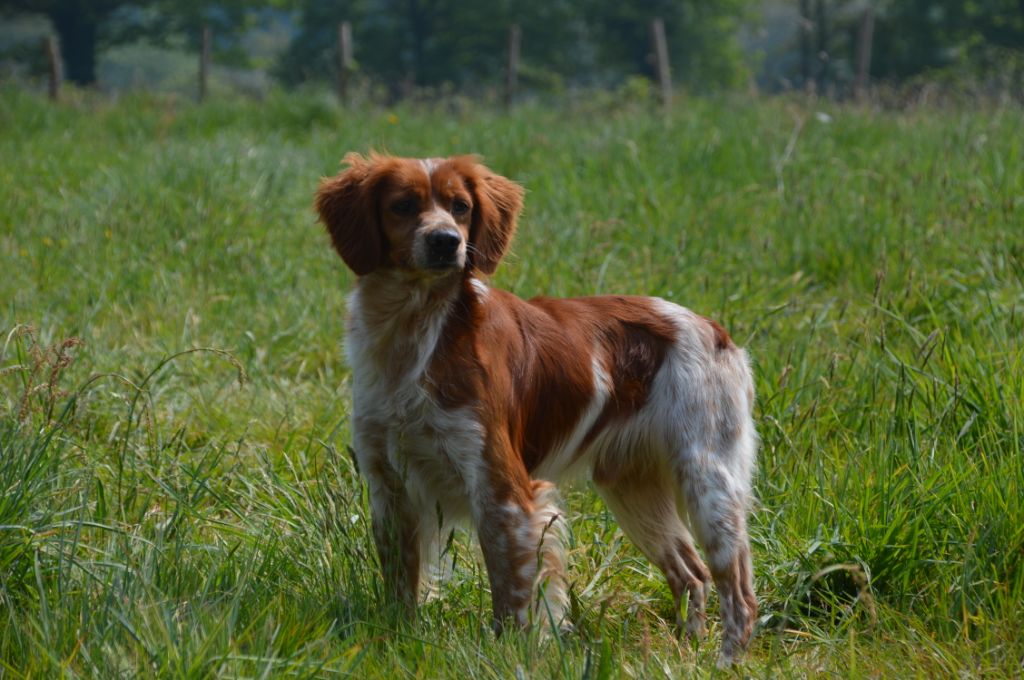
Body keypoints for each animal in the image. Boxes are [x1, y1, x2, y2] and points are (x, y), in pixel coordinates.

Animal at [315, 151, 757, 667]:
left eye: (461, 207)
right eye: (403, 205)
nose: (447, 242)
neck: (415, 334)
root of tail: (715, 330)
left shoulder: (504, 492)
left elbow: (511, 595)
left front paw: (510, 655)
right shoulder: (390, 487)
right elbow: (400, 585)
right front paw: (396, 639)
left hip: (708, 481)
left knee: (738, 591)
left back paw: (726, 662)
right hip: (632, 489)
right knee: (692, 574)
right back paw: (685, 652)